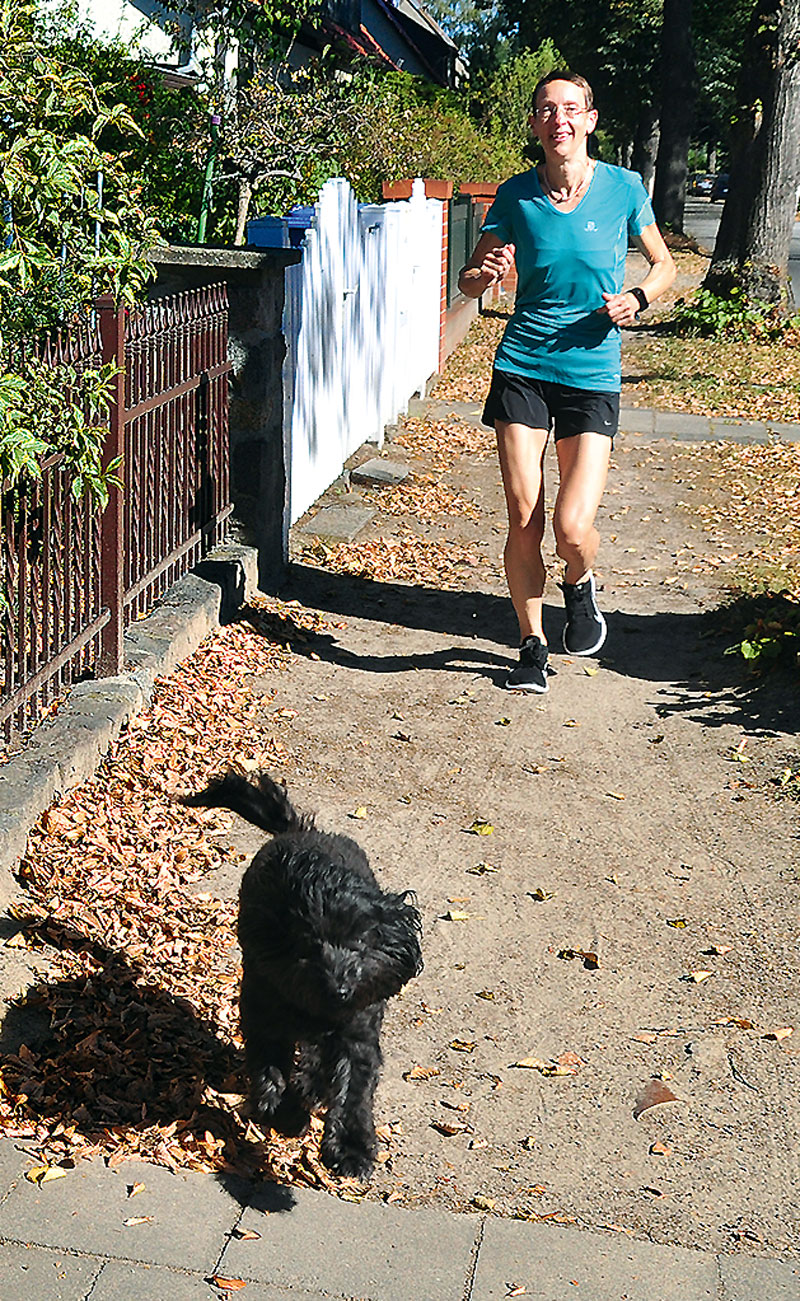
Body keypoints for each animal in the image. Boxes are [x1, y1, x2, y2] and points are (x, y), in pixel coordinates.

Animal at [179, 764, 418, 1186]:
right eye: (310, 942)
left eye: (361, 940)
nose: (340, 988)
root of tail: (298, 832)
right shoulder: (263, 1011)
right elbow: (269, 1070)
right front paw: (287, 1114)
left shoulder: (357, 1031)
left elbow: (353, 1089)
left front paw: (351, 1150)